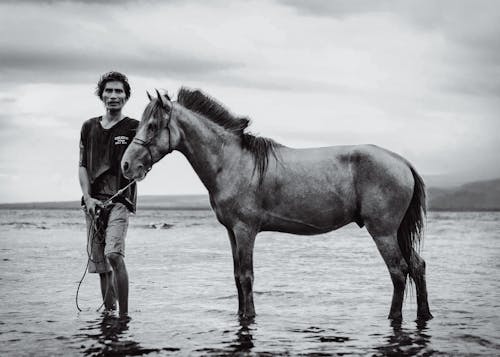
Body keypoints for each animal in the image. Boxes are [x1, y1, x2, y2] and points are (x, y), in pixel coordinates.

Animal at [119, 88, 432, 320]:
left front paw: (249, 317)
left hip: (383, 231)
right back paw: (424, 314)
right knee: (417, 266)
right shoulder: (231, 232)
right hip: (397, 231)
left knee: (399, 271)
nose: (126, 165)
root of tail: (402, 162)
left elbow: (246, 276)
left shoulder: (245, 230)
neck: (231, 162)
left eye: (153, 125)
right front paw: (241, 314)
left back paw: (394, 317)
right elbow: (237, 276)